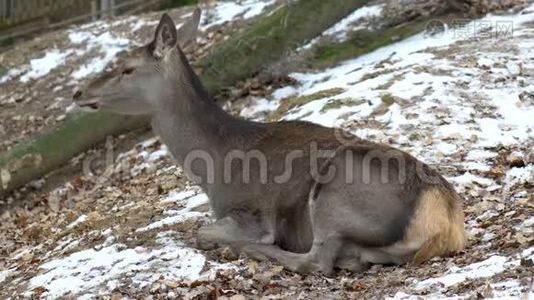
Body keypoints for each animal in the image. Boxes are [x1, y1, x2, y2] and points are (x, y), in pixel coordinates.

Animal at [73, 8, 466, 274]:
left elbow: (203, 230)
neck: (211, 169)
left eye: (127, 68)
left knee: (317, 261)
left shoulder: (249, 213)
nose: (79, 92)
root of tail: (443, 222)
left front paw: (244, 244)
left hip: (335, 196)